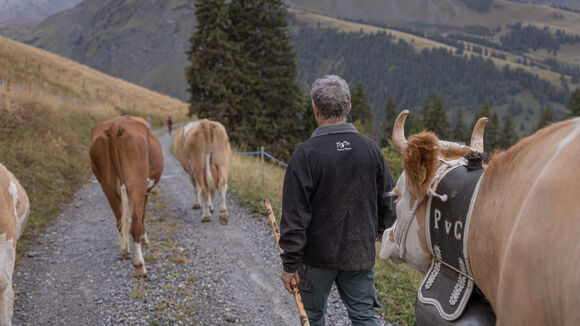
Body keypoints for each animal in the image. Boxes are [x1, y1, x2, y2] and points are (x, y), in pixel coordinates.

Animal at [89, 116, 164, 276]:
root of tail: (115, 125)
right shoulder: (145, 191)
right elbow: (141, 217)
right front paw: (144, 238)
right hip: (137, 184)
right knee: (135, 221)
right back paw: (139, 265)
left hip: (107, 185)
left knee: (119, 220)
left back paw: (125, 251)